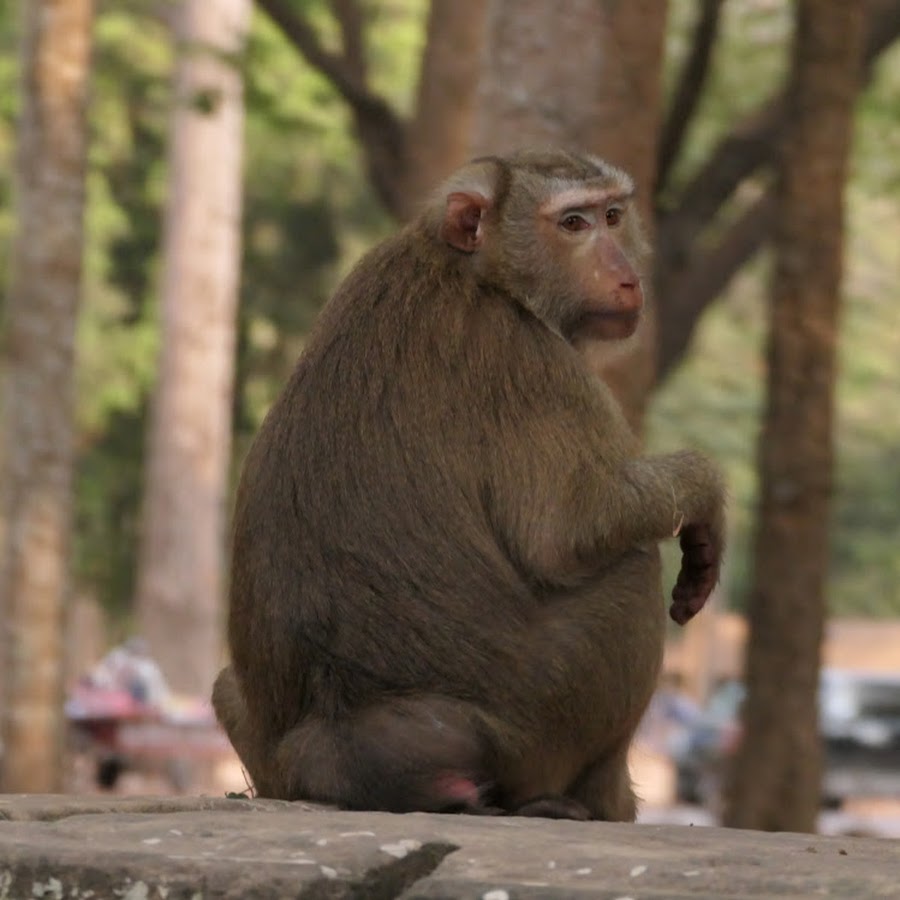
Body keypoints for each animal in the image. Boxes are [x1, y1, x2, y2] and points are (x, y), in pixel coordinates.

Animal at [212, 149, 726, 822]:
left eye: (614, 215)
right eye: (573, 224)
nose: (626, 279)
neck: (474, 266)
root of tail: (340, 744)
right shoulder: (531, 359)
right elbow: (569, 531)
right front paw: (705, 493)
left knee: (227, 689)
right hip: (544, 720)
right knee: (631, 565)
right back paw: (597, 801)